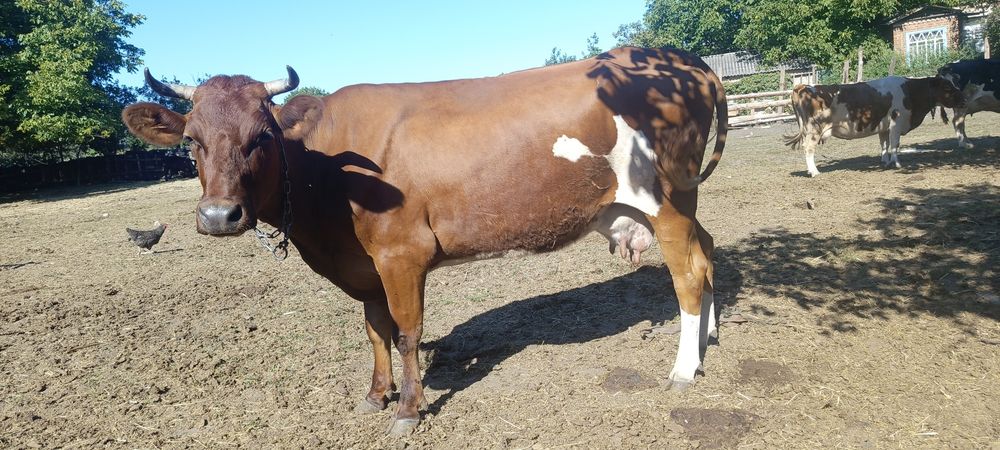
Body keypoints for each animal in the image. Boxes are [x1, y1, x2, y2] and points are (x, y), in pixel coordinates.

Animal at [121, 47, 727, 435]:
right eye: (191, 140)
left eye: (261, 138)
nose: (219, 215)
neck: (330, 174)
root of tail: (683, 60)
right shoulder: (363, 265)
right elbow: (375, 332)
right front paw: (375, 395)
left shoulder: (401, 255)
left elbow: (408, 333)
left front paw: (408, 409)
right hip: (674, 203)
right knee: (709, 251)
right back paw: (707, 342)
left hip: (668, 200)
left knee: (688, 273)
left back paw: (682, 369)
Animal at [785, 76, 965, 176]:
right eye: (947, 87)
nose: (963, 99)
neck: (910, 92)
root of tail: (802, 87)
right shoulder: (897, 122)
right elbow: (895, 144)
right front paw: (897, 164)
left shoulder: (884, 127)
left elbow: (884, 144)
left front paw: (885, 161)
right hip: (814, 130)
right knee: (808, 148)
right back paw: (814, 172)